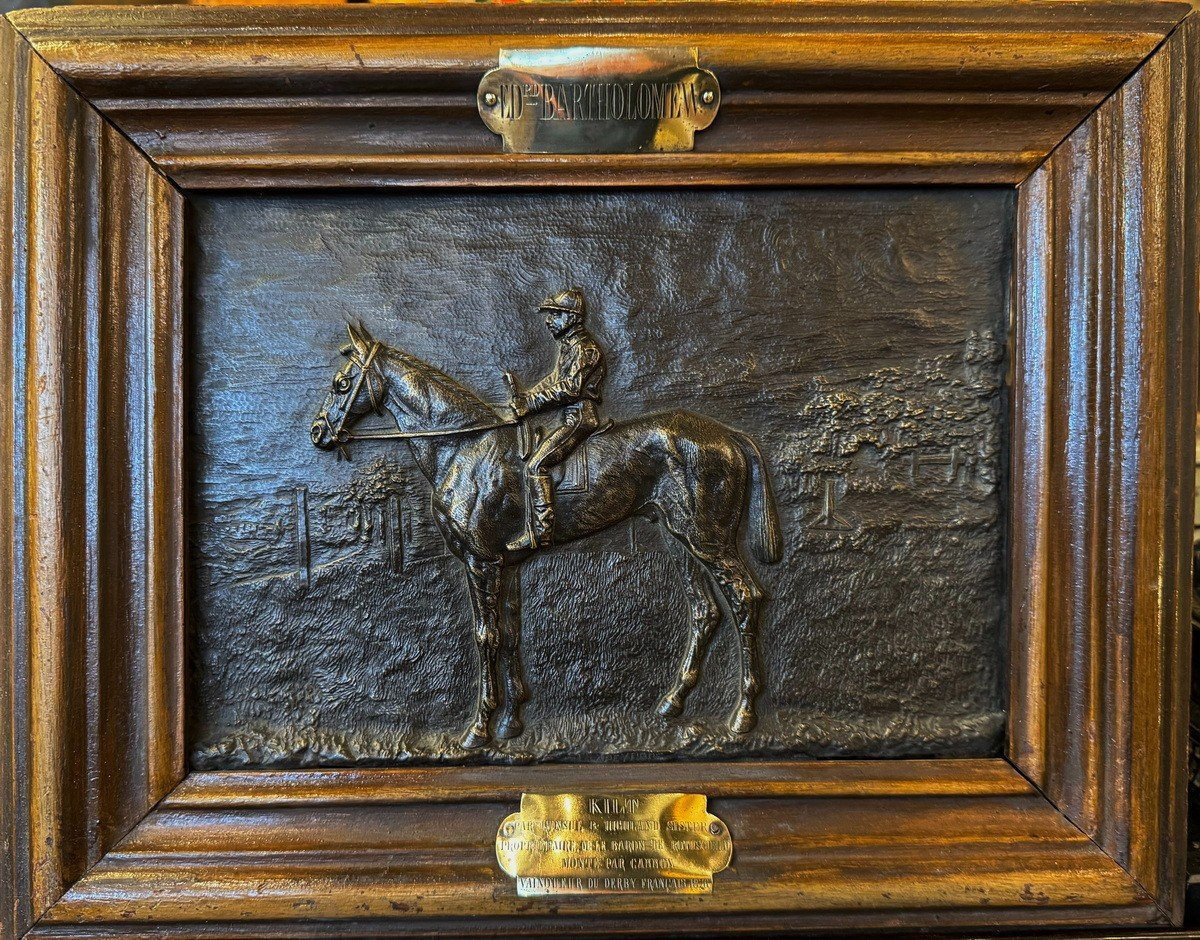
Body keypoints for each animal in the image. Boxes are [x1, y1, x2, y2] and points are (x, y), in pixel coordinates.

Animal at [309, 324, 782, 749]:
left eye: (341, 383)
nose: (318, 432)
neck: (462, 449)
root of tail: (729, 435)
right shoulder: (507, 565)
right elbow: (511, 633)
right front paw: (512, 720)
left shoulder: (481, 562)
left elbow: (486, 635)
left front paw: (479, 728)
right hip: (678, 538)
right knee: (704, 610)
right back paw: (673, 702)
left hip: (708, 540)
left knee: (745, 598)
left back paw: (743, 714)